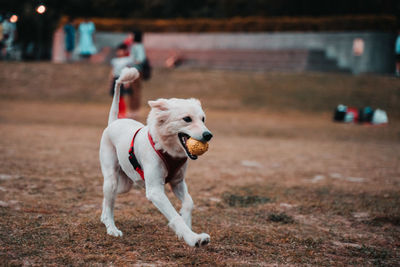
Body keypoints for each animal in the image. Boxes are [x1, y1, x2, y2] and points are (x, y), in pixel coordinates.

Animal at [99, 68, 212, 248]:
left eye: (203, 119)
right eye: (187, 119)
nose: (208, 135)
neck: (167, 148)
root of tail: (114, 122)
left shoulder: (178, 183)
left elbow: (189, 202)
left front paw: (187, 227)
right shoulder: (155, 190)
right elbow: (174, 215)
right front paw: (192, 238)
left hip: (124, 185)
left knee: (108, 199)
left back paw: (104, 218)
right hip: (112, 178)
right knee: (110, 201)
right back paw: (111, 228)